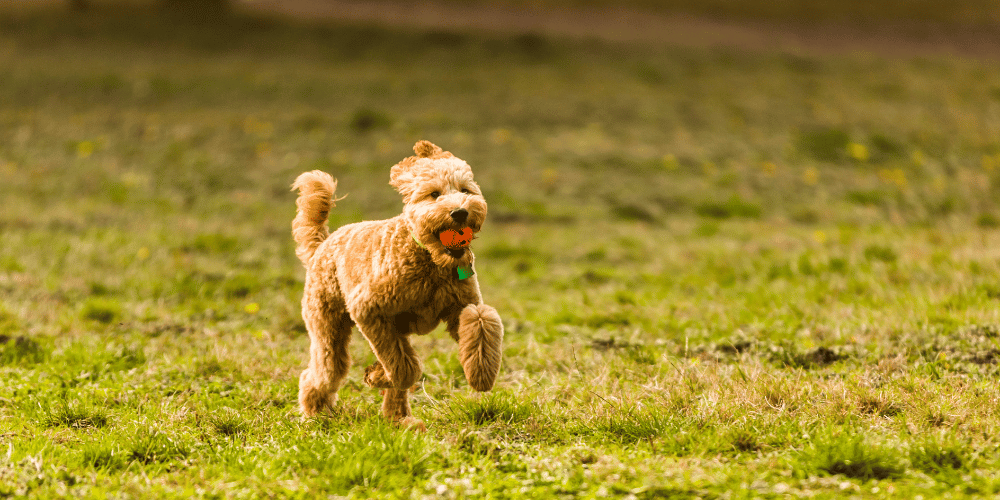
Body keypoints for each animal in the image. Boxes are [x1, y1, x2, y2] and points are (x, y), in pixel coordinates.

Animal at [292, 139, 504, 428]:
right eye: (434, 194)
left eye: (465, 190)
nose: (460, 212)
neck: (430, 260)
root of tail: (321, 245)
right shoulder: (368, 309)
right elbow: (404, 369)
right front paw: (376, 376)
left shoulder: (461, 307)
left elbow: (482, 320)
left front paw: (481, 374)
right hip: (328, 326)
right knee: (323, 371)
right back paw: (315, 412)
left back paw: (401, 421)